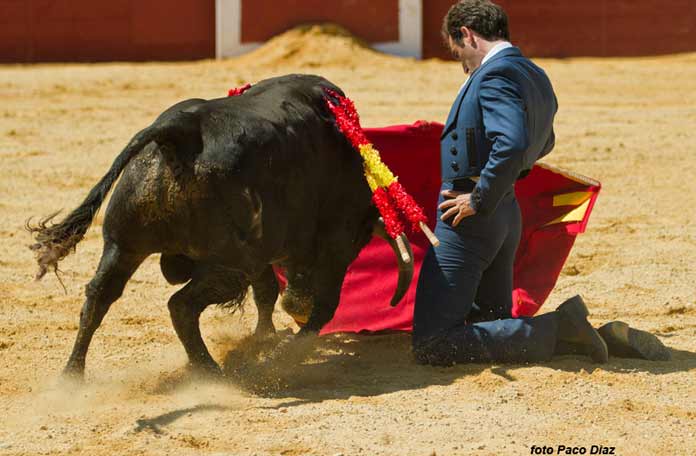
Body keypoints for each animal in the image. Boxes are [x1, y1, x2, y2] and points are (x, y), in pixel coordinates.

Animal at [28, 74, 414, 374]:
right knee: (181, 306)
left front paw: (265, 338)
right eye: (357, 245)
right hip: (228, 265)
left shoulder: (268, 254)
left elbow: (268, 291)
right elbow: (314, 299)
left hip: (123, 245)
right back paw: (211, 371)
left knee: (99, 297)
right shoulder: (329, 243)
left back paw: (72, 377)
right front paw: (285, 344)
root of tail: (178, 132)